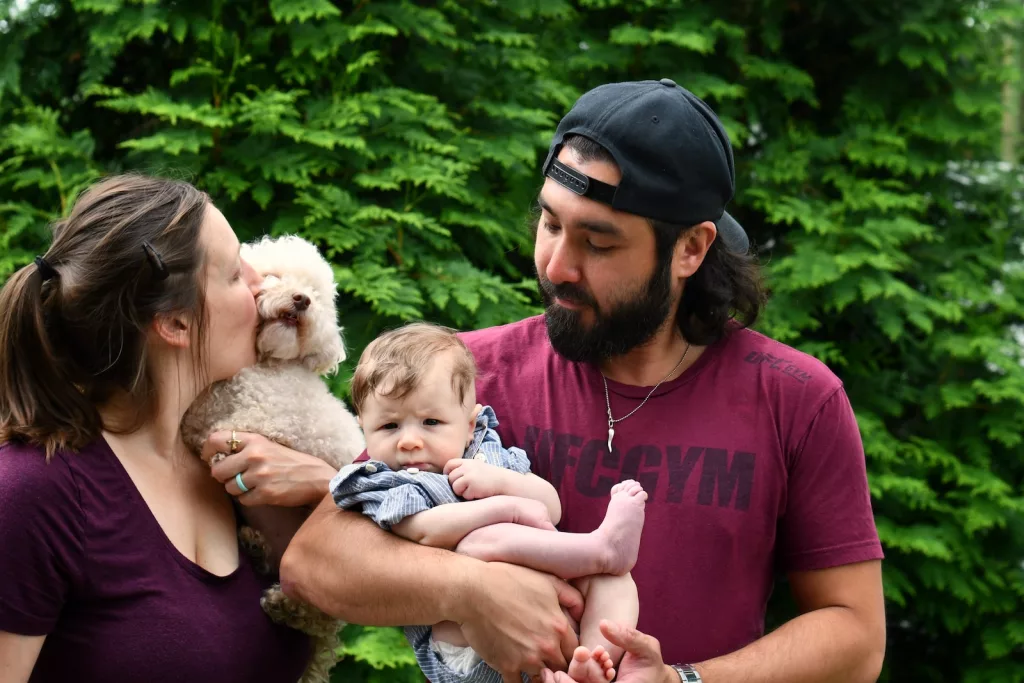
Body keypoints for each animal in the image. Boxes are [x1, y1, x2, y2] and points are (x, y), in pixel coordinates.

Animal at [183, 235, 364, 683]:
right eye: (274, 276)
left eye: (315, 291)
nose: (302, 299)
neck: (264, 364)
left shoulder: (271, 418)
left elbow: (218, 429)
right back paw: (253, 544)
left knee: (318, 617)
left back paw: (287, 606)